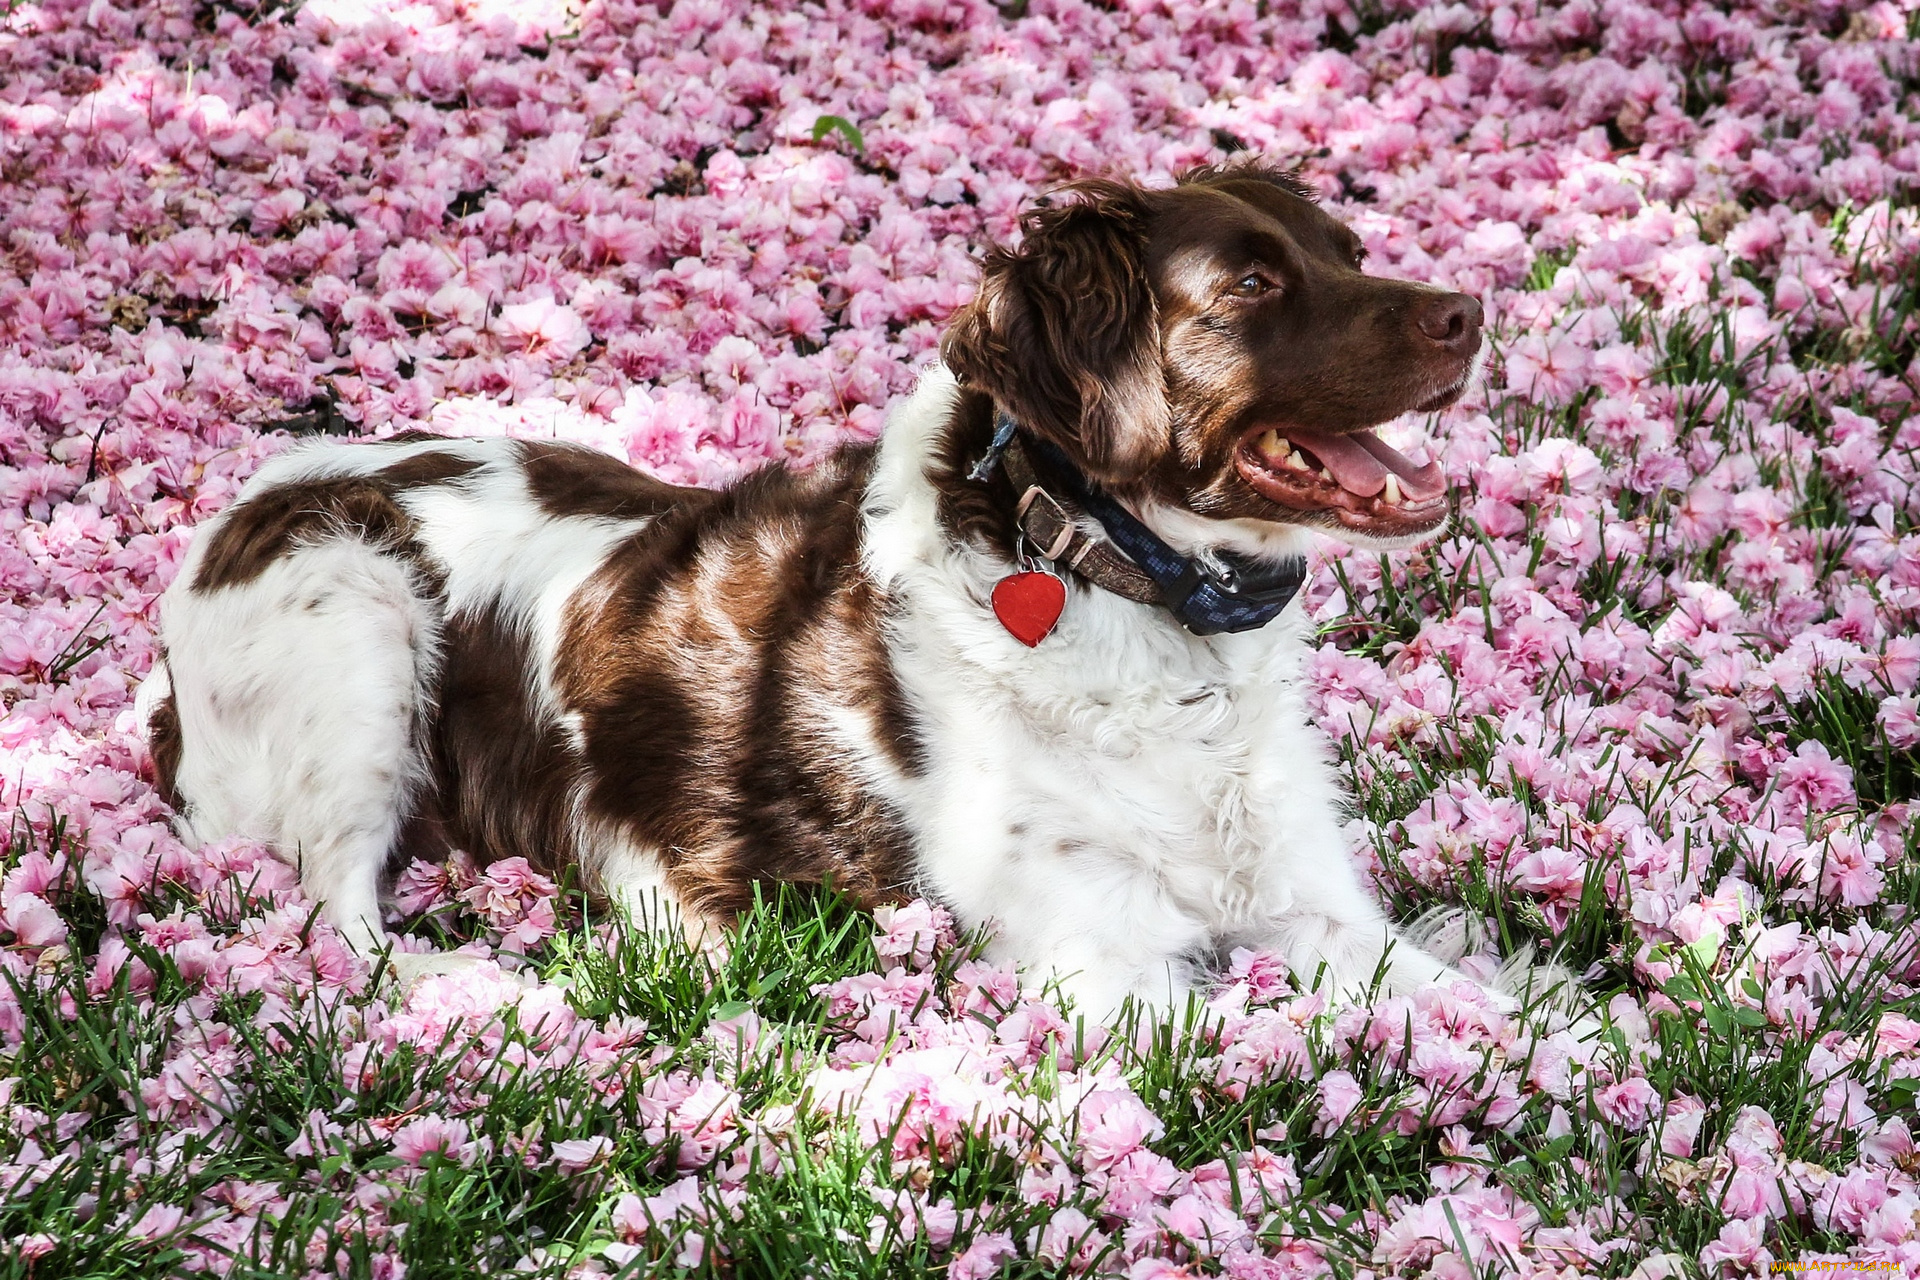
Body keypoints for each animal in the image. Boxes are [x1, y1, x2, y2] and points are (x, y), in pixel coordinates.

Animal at [142, 163, 1505, 1020]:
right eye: (1251, 287)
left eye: (1349, 252)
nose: (1469, 309)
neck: (1126, 597)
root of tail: (247, 499)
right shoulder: (1109, 960)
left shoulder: (1312, 902)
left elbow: (1491, 1022)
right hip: (354, 605)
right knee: (337, 914)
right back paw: (482, 985)